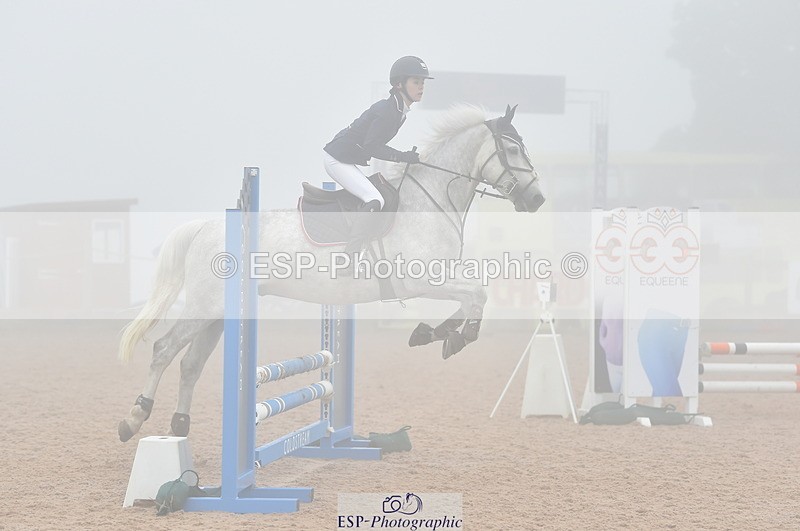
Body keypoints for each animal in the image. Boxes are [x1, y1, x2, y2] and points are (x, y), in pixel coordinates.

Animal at [117, 104, 545, 442]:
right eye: (511, 149)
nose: (538, 199)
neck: (430, 200)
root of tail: (205, 226)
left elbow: (474, 296)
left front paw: (431, 334)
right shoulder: (423, 279)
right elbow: (478, 294)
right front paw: (453, 338)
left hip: (220, 314)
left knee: (190, 363)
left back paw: (179, 425)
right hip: (205, 306)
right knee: (163, 349)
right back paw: (134, 418)